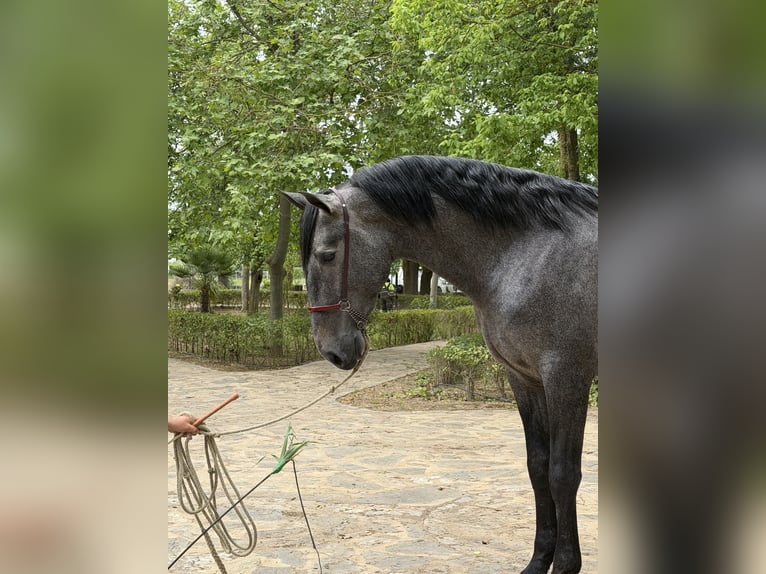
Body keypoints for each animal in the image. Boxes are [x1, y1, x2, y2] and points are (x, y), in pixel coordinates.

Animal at [283, 155, 597, 574]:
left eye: (326, 254)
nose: (331, 351)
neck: (531, 255)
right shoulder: (524, 380)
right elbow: (537, 467)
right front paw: (538, 561)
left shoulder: (567, 379)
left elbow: (563, 475)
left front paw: (564, 565)